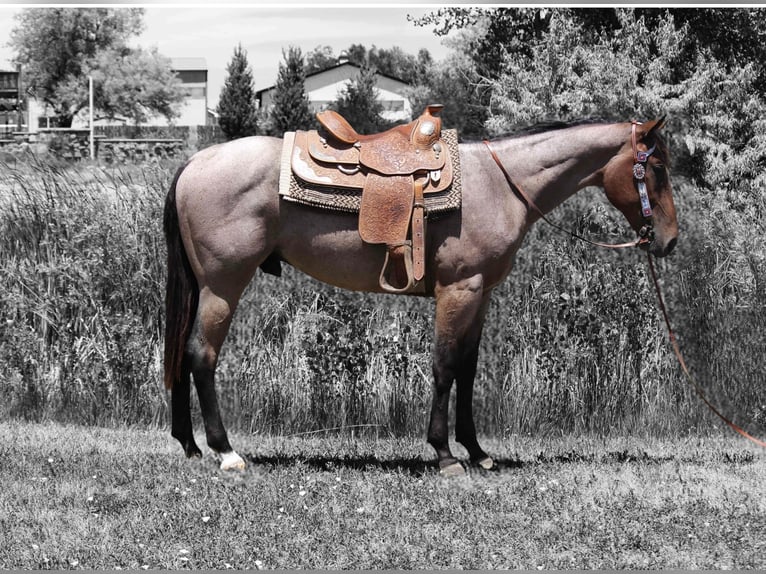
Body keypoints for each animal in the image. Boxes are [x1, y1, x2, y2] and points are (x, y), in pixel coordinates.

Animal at [162, 117, 678, 476]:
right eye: (656, 167)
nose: (669, 240)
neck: (501, 185)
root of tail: (194, 163)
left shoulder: (480, 294)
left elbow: (468, 370)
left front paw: (478, 452)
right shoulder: (459, 290)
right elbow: (445, 366)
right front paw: (445, 454)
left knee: (183, 353)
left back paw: (189, 444)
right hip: (223, 286)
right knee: (201, 355)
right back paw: (226, 451)